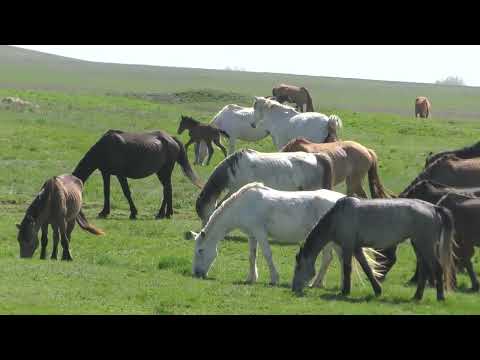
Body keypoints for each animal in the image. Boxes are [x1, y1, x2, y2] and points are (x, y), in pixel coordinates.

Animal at [72, 129, 203, 219]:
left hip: (165, 171)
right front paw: (104, 212)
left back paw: (162, 214)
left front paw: (133, 213)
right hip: (161, 172)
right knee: (168, 190)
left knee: (167, 190)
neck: (104, 148)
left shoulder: (120, 175)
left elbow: (126, 192)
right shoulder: (106, 173)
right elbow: (106, 192)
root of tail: (171, 138)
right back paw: (167, 213)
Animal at [189, 183, 380, 286]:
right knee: (330, 259)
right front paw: (251, 278)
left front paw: (274, 279)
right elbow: (252, 256)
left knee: (337, 259)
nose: (197, 273)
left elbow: (267, 254)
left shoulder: (260, 232)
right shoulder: (252, 235)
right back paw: (317, 283)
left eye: (200, 251)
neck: (243, 205)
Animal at [292, 195, 454, 302]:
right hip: (418, 245)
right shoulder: (357, 248)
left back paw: (440, 297)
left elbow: (347, 268)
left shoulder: (348, 246)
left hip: (426, 245)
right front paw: (377, 290)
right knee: (424, 269)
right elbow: (367, 269)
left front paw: (345, 291)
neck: (337, 217)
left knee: (437, 268)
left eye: (298, 267)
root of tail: (434, 208)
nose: (294, 289)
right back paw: (417, 296)